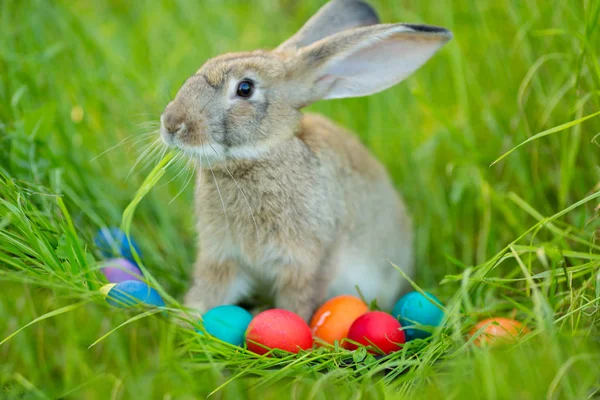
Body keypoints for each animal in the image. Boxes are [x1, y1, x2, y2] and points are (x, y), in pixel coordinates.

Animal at [159, 0, 450, 320]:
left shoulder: (306, 263)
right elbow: (209, 293)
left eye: (245, 88)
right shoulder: (221, 257)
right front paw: (185, 323)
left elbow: (297, 303)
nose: (171, 124)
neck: (256, 159)